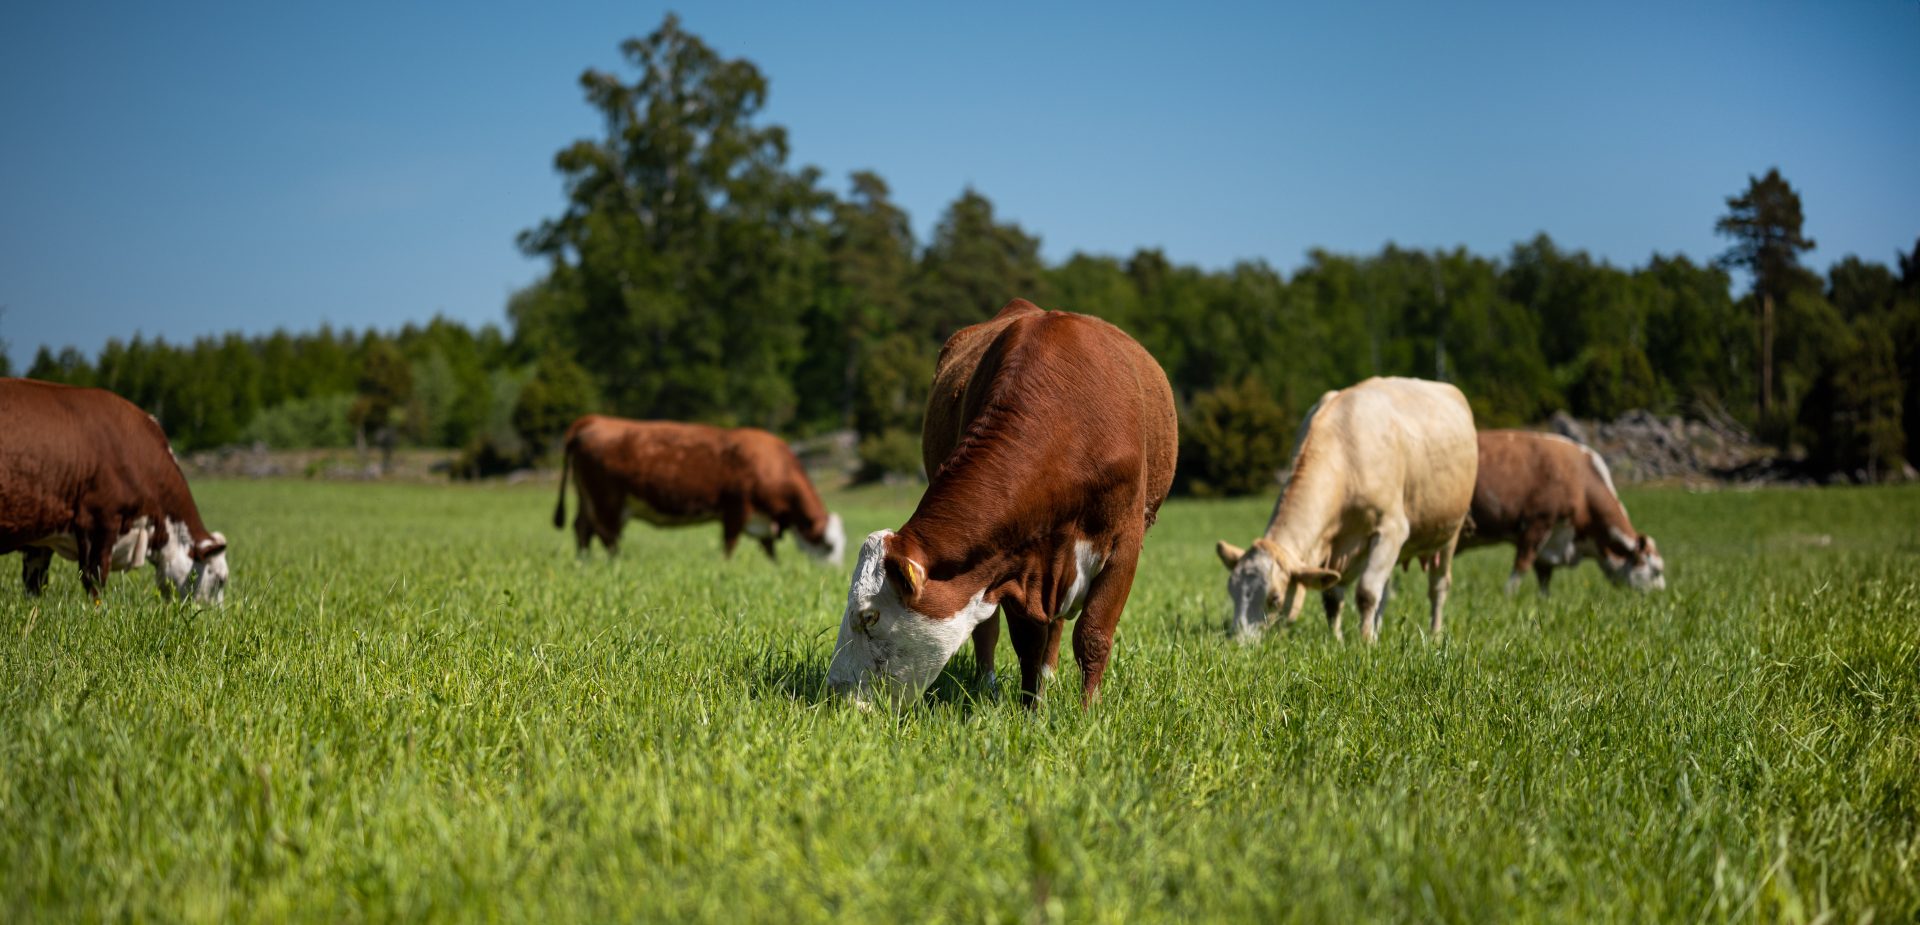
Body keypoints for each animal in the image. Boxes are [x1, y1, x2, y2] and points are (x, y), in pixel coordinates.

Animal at [1, 378, 230, 603]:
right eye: (220, 580)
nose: (214, 612)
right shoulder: (99, 521)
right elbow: (94, 579)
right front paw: (97, 609)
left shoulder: (41, 531)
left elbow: (35, 584)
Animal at [553, 416, 845, 565]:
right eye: (829, 545)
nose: (833, 571)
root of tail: (594, 421)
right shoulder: (736, 508)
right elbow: (730, 543)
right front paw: (725, 567)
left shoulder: (762, 520)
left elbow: (769, 549)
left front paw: (775, 568)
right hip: (607, 500)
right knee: (607, 536)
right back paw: (617, 563)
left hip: (587, 497)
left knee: (582, 528)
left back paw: (583, 561)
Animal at [826, 298, 1177, 710]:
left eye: (869, 617)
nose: (835, 693)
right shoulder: (1010, 558)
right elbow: (1027, 640)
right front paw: (1030, 709)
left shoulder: (1124, 544)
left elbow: (1092, 635)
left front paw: (1088, 711)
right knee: (992, 630)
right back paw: (989, 686)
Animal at [1215, 377, 1476, 644]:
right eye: (1232, 590)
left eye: (1274, 599)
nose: (1239, 642)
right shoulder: (1338, 547)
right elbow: (1333, 597)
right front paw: (1338, 639)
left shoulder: (1391, 530)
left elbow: (1366, 592)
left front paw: (1365, 641)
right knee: (1386, 589)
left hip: (1449, 533)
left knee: (1438, 587)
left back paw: (1434, 635)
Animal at [1461, 430, 1665, 594]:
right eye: (1656, 571)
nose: (1660, 595)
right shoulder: (1538, 522)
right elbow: (1522, 565)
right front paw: (1508, 596)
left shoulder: (1549, 547)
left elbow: (1544, 579)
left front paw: (1543, 602)